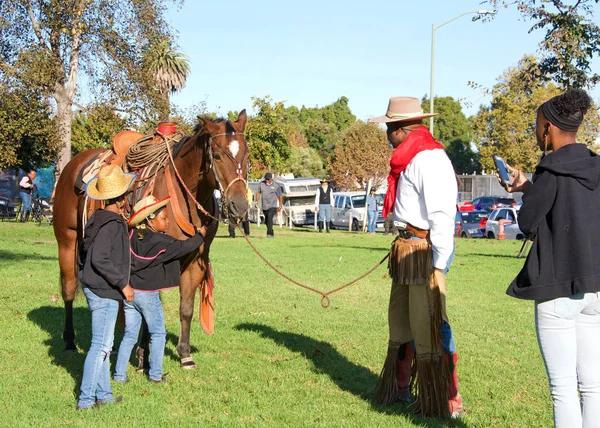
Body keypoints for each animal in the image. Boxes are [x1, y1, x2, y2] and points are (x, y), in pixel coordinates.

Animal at [52, 110, 248, 368]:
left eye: (246, 155)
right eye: (216, 155)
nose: (239, 205)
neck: (181, 195)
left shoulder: (195, 262)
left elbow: (186, 308)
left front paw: (184, 354)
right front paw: (144, 355)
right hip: (67, 241)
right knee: (68, 288)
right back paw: (69, 341)